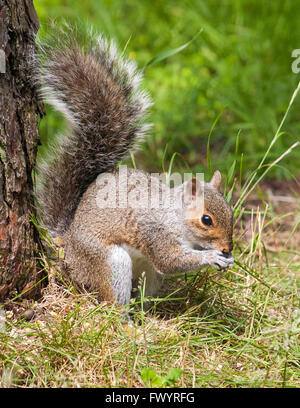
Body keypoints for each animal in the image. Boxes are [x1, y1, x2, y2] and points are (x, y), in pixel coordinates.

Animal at [34, 26, 233, 306]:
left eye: (231, 212)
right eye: (206, 219)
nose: (227, 248)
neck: (175, 216)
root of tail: (67, 245)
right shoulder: (156, 233)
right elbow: (170, 261)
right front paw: (212, 257)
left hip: (147, 273)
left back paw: (146, 312)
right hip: (109, 263)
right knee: (112, 297)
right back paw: (123, 314)